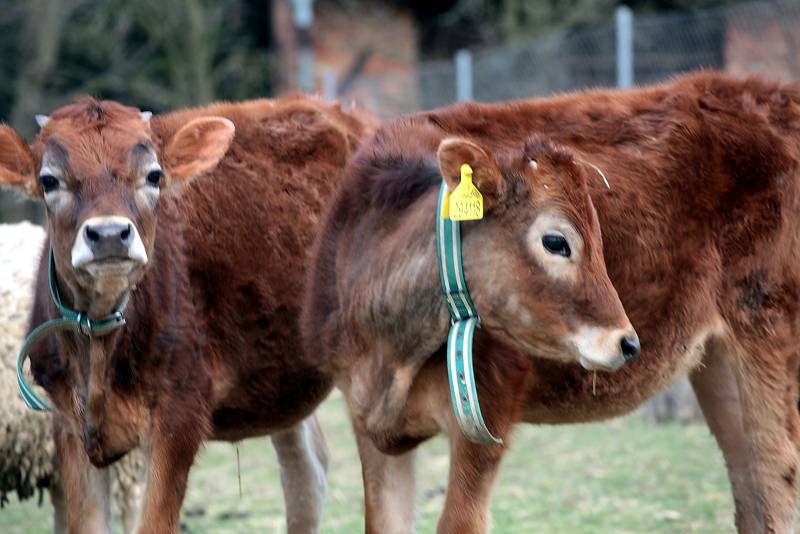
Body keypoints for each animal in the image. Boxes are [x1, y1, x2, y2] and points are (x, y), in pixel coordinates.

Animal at [304, 71, 800, 534]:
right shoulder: (371, 426)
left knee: (779, 489)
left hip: (771, 337)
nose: (627, 343)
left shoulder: (488, 408)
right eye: (556, 241)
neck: (389, 355)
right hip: (719, 365)